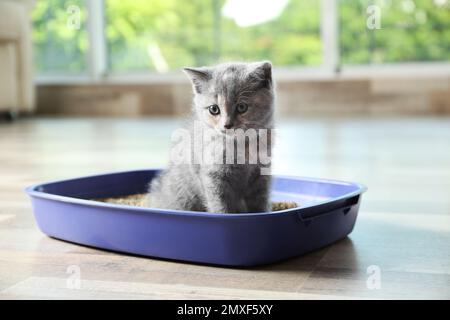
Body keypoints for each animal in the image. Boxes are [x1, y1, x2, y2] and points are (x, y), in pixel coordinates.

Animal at [149, 61, 274, 214]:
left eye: (242, 107)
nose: (227, 125)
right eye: (214, 109)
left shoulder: (261, 175)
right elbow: (221, 205)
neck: (240, 145)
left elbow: (260, 203)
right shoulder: (213, 177)